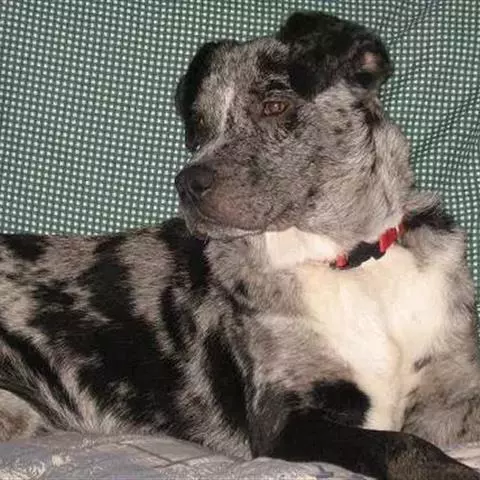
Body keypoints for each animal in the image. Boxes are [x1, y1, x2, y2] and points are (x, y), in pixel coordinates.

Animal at [1, 11, 479, 479]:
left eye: (275, 105)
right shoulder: (284, 420)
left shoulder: (453, 383)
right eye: (198, 127)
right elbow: (399, 445)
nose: (188, 183)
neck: (342, 261)